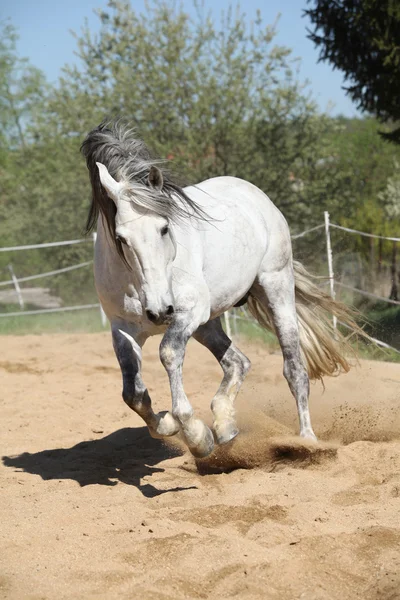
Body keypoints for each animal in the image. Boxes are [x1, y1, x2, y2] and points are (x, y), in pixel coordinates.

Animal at [82, 122, 360, 460]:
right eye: (121, 238)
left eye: (164, 227)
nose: (159, 311)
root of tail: (257, 196)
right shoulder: (123, 330)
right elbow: (132, 393)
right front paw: (169, 424)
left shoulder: (186, 313)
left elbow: (168, 353)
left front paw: (196, 435)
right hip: (208, 322)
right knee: (238, 362)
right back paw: (226, 425)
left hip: (275, 289)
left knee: (294, 369)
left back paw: (306, 441)